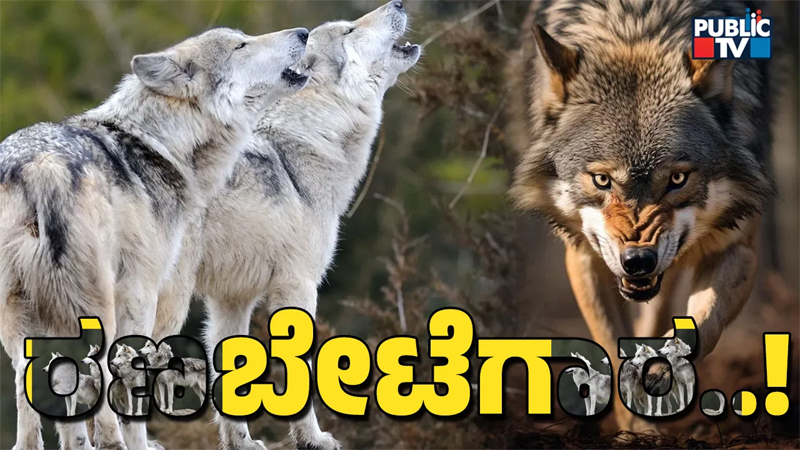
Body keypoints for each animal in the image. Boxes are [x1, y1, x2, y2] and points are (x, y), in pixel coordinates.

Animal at [0, 25, 309, 449]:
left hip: (20, 317)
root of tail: (38, 166)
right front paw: (137, 442)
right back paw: (111, 441)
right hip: (96, 304)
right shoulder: (141, 290)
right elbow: (134, 372)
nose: (304, 32)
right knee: (98, 370)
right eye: (241, 45)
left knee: (29, 392)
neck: (159, 145)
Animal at [151, 1, 419, 448]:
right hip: (169, 304)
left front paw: (241, 442)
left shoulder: (231, 300)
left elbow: (231, 377)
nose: (398, 3)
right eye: (349, 30)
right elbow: (302, 372)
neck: (309, 142)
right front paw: (314, 438)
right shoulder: (298, 285)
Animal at [507, 0, 773, 429]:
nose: (637, 261)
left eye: (677, 178)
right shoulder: (583, 255)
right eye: (601, 180)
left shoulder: (737, 248)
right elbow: (608, 352)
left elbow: (700, 329)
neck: (636, 24)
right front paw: (637, 427)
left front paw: (659, 377)